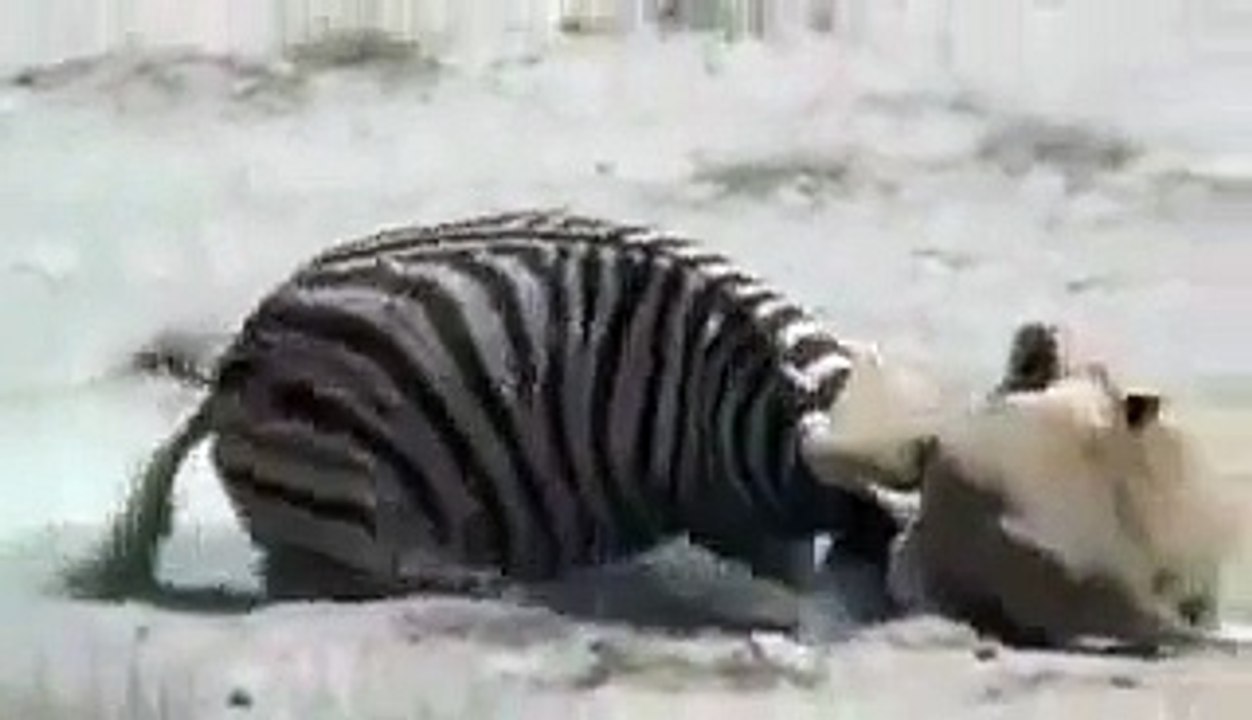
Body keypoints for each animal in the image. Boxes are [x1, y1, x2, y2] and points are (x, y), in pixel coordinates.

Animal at [67, 209, 919, 605]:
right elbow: (782, 556)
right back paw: (485, 581)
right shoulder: (715, 492)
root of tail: (227, 375)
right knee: (356, 573)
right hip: (353, 496)